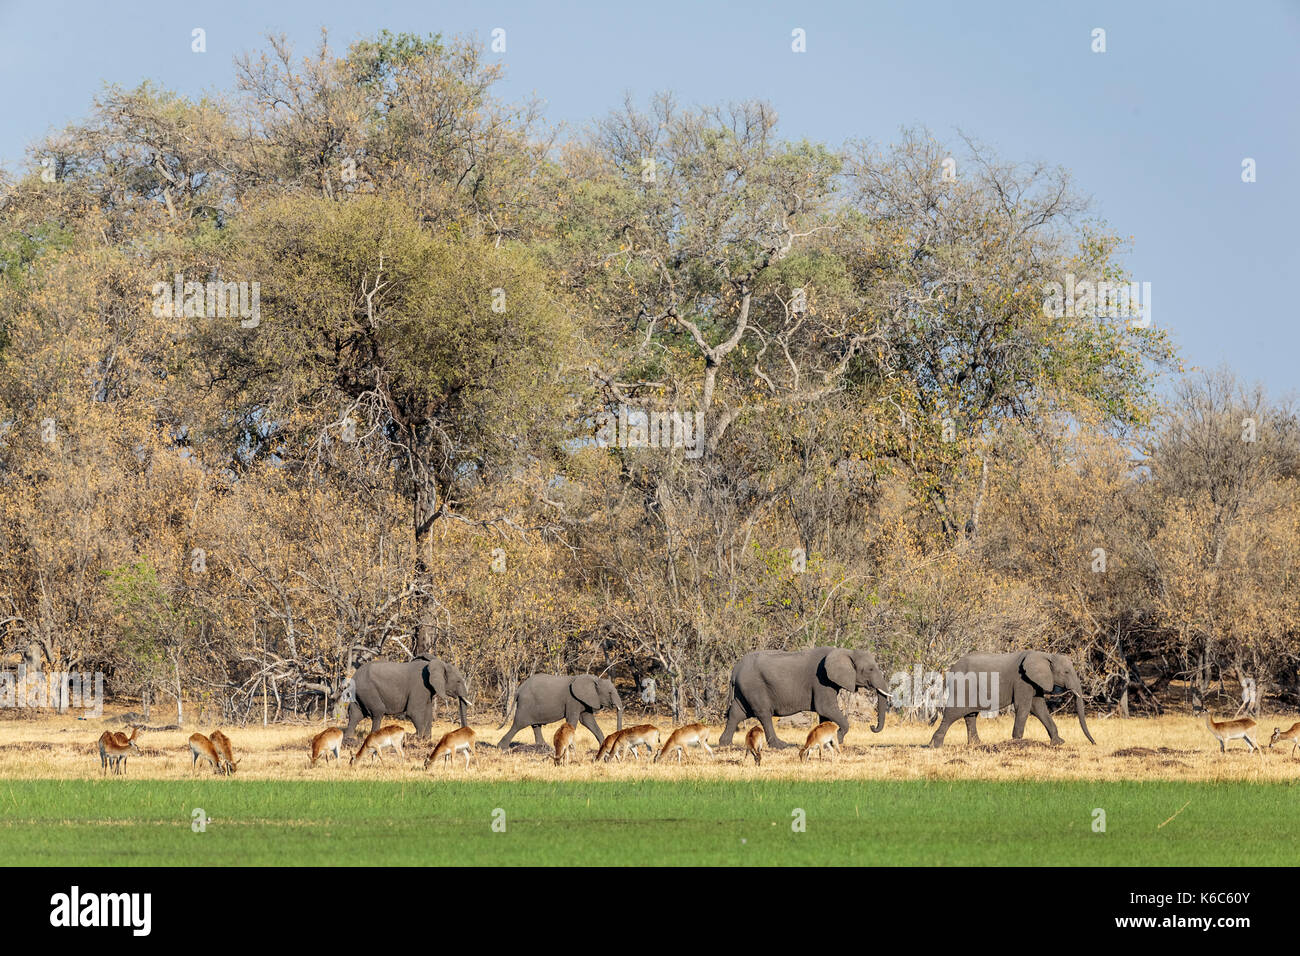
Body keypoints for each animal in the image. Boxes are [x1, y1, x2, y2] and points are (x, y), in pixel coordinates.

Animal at [340, 655, 473, 743]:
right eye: (458, 681)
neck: (439, 664)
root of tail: (354, 675)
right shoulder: (420, 685)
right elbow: (414, 712)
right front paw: (417, 738)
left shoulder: (427, 690)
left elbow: (428, 712)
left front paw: (426, 740)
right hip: (368, 689)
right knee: (377, 712)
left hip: (359, 693)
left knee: (355, 714)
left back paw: (348, 739)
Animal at [493, 676, 621, 749]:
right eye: (610, 693)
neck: (595, 679)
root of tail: (519, 689)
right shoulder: (572, 700)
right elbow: (573, 720)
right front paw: (571, 748)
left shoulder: (584, 700)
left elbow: (588, 721)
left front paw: (603, 747)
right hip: (526, 704)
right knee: (519, 724)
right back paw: (502, 748)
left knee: (535, 725)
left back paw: (544, 747)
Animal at [717, 647, 889, 749]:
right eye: (870, 669)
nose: (872, 726)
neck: (846, 651)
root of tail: (735, 669)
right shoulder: (822, 680)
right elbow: (825, 708)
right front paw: (838, 740)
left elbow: (825, 715)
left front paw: (827, 742)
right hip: (754, 687)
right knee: (764, 714)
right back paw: (781, 745)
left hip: (744, 689)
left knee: (737, 713)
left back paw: (725, 744)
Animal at [925, 650, 1097, 749]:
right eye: (1066, 672)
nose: (1094, 743)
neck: (1046, 655)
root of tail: (950, 670)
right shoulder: (1022, 680)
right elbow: (1024, 707)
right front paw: (1017, 742)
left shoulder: (1034, 681)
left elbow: (1039, 708)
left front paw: (1059, 742)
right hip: (962, 685)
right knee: (954, 713)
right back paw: (935, 746)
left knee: (970, 715)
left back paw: (976, 745)